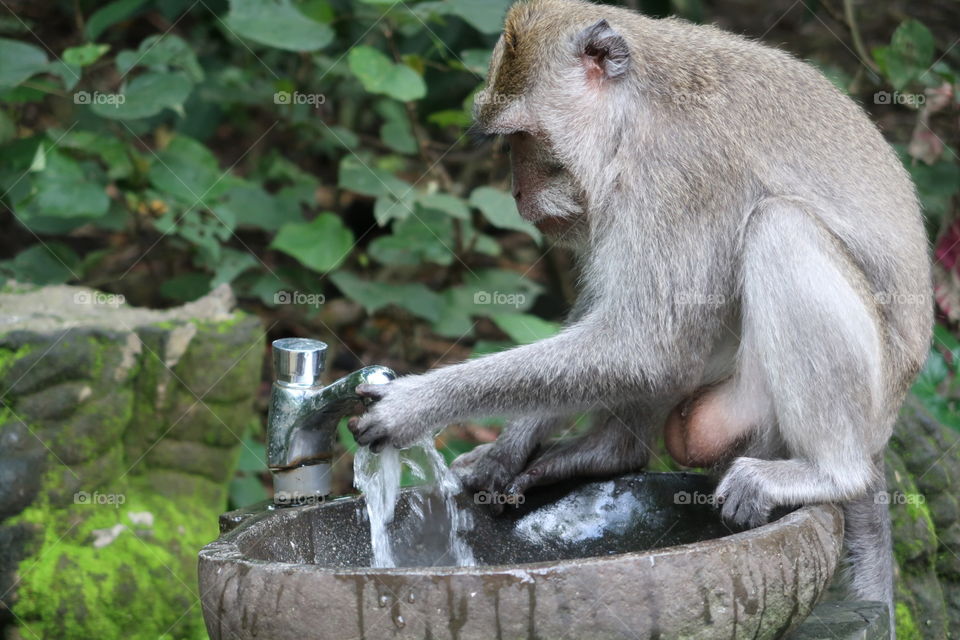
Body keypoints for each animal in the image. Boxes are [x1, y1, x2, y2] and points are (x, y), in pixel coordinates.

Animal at [350, 0, 933, 633]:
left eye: (522, 137)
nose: (517, 193)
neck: (640, 107)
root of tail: (880, 436)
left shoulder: (681, 171)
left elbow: (650, 345)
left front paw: (416, 403)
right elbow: (622, 324)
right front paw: (505, 451)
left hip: (791, 409)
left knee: (777, 228)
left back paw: (827, 473)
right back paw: (607, 452)